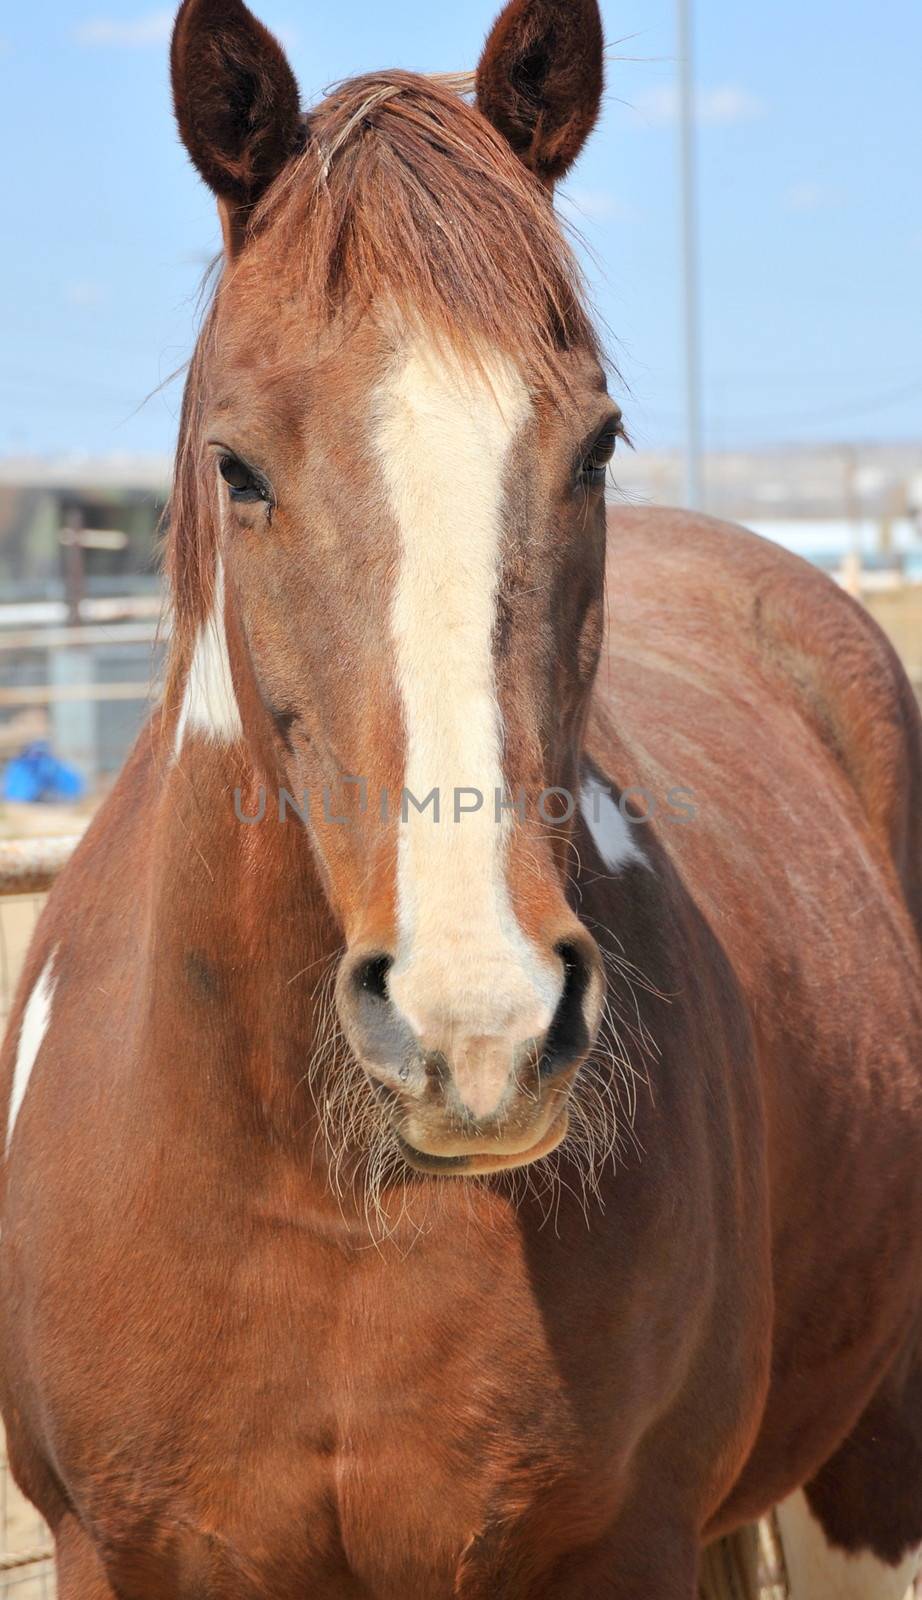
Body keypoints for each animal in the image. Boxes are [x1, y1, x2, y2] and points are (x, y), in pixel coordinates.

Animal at [1, 0, 922, 1593]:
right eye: (236, 465)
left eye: (596, 445)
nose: (476, 1023)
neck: (322, 1203)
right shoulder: (108, 1548)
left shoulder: (624, 1544)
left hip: (869, 1450)